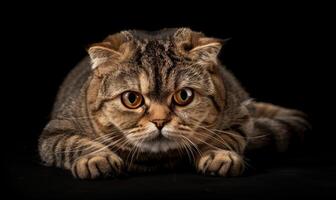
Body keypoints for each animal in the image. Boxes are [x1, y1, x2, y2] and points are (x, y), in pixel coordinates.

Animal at [37, 27, 310, 179]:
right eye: (132, 99)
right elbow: (74, 144)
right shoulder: (55, 131)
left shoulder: (240, 119)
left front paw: (218, 155)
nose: (160, 121)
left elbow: (226, 137)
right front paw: (96, 158)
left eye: (183, 96)